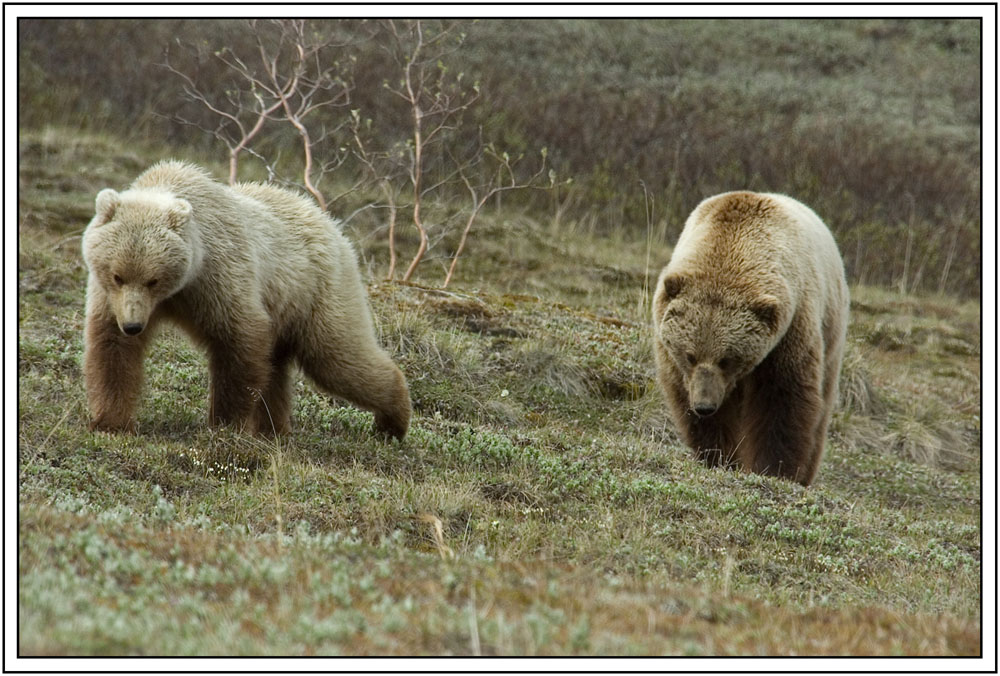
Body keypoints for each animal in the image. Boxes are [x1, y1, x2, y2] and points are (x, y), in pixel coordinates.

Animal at [81, 162, 410, 438]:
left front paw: (223, 424)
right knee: (279, 370)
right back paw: (273, 429)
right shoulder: (111, 299)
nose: (133, 326)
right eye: (117, 275)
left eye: (153, 279)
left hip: (320, 292)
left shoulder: (219, 278)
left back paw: (393, 420)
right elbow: (112, 350)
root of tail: (332, 223)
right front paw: (110, 421)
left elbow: (238, 343)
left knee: (338, 358)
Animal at [652, 191, 848, 486]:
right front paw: (718, 457)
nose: (704, 406)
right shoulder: (676, 360)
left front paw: (775, 469)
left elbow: (782, 401)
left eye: (726, 359)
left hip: (831, 329)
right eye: (689, 355)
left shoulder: (789, 333)